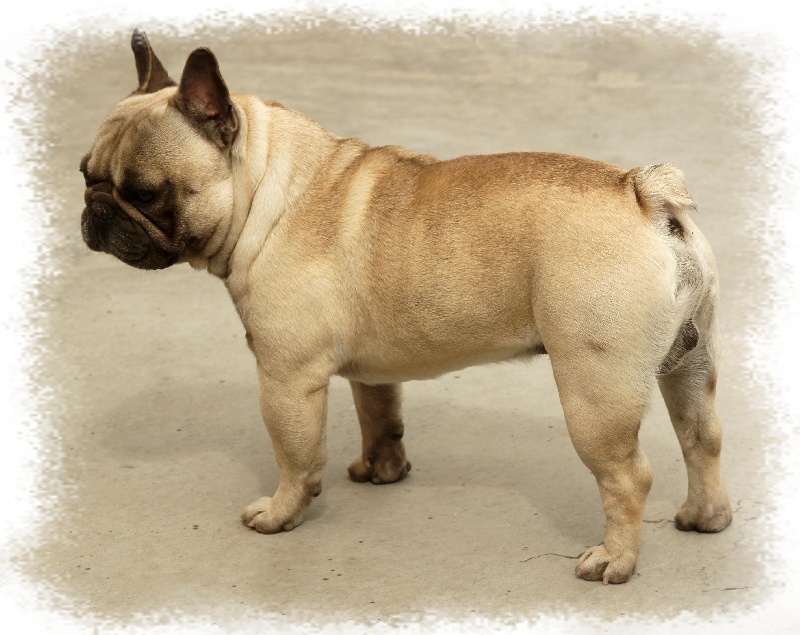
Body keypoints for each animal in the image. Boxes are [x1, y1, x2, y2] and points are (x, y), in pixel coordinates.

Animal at [80, 29, 732, 584]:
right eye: (85, 174)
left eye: (146, 193)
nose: (95, 211)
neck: (267, 188)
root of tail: (644, 194)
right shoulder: (371, 371)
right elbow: (380, 417)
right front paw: (381, 472)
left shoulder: (286, 378)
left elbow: (296, 455)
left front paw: (281, 513)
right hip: (689, 362)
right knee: (702, 438)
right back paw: (705, 519)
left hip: (594, 390)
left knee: (628, 476)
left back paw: (614, 561)